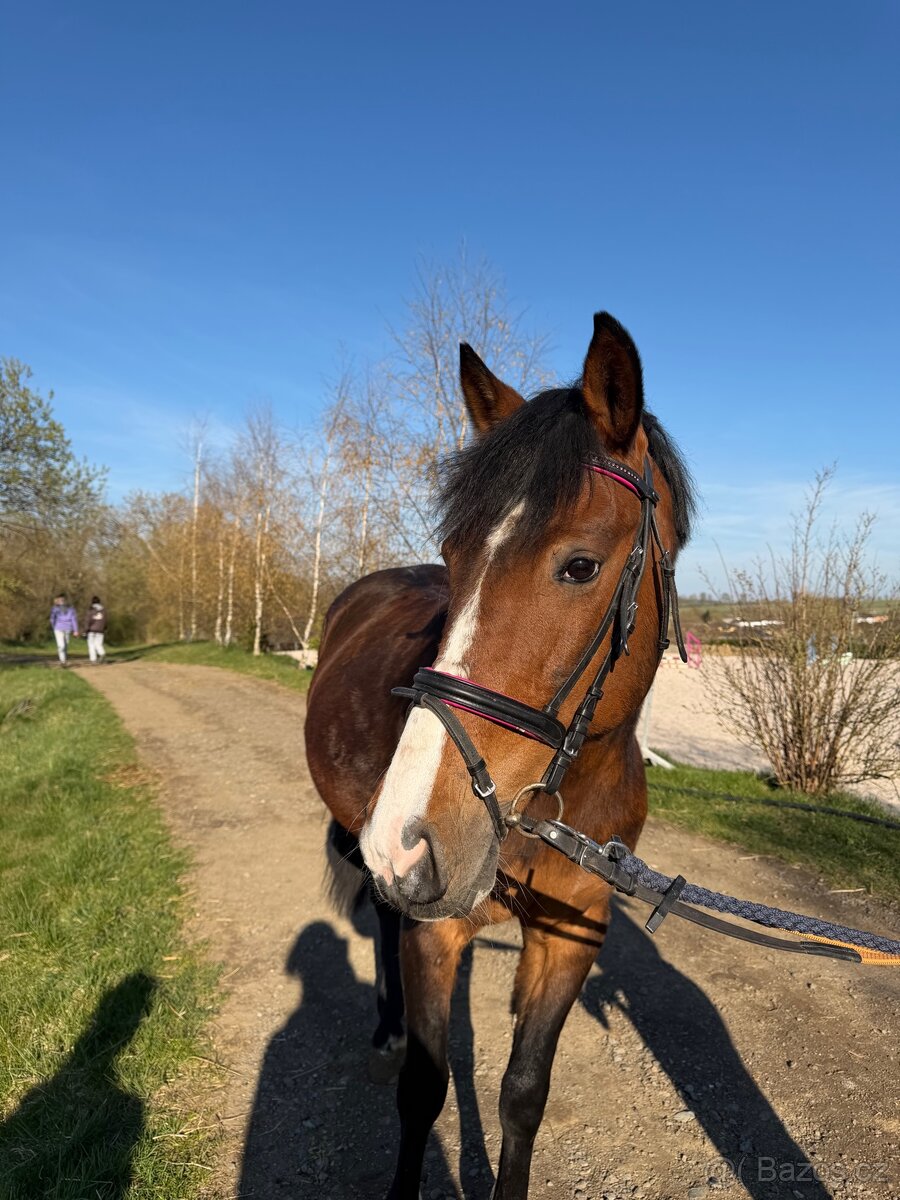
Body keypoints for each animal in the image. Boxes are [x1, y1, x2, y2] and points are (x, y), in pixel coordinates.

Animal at [304, 311, 695, 1199]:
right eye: (454, 556)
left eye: (580, 565)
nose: (410, 836)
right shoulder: (434, 930)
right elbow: (426, 1087)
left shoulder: (573, 934)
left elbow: (522, 1094)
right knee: (383, 919)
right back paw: (386, 1025)